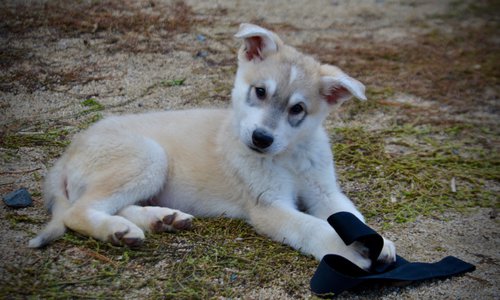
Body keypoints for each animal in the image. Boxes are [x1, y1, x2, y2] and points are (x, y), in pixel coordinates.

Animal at [31, 24, 394, 270]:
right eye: (259, 91)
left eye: (298, 109)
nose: (261, 139)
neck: (288, 155)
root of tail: (68, 152)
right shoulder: (268, 205)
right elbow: (312, 226)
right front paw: (346, 250)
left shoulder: (324, 192)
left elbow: (350, 215)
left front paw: (381, 242)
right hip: (149, 157)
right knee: (78, 211)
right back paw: (117, 230)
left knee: (109, 205)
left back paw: (157, 220)